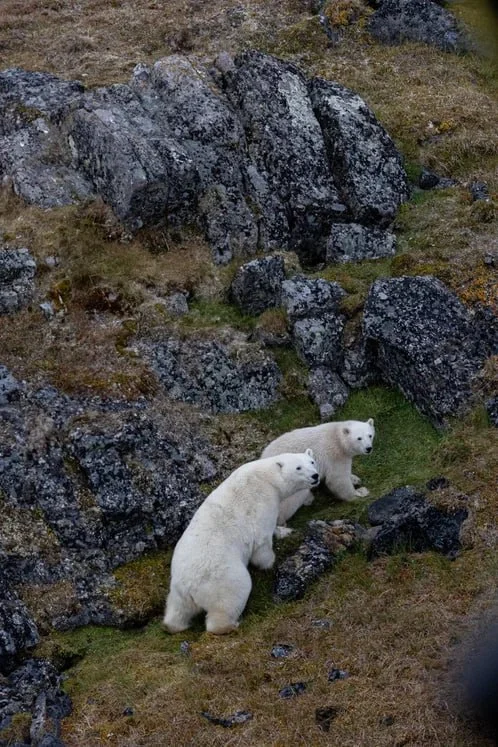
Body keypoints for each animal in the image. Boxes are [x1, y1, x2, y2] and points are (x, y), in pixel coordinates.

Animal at [163, 450, 320, 636]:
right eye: (298, 467)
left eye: (312, 461)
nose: (315, 475)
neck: (266, 477)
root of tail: (189, 586)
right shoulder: (263, 502)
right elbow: (261, 542)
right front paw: (270, 563)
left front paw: (285, 531)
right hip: (224, 578)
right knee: (233, 596)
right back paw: (232, 624)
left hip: (177, 591)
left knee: (176, 610)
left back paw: (173, 625)